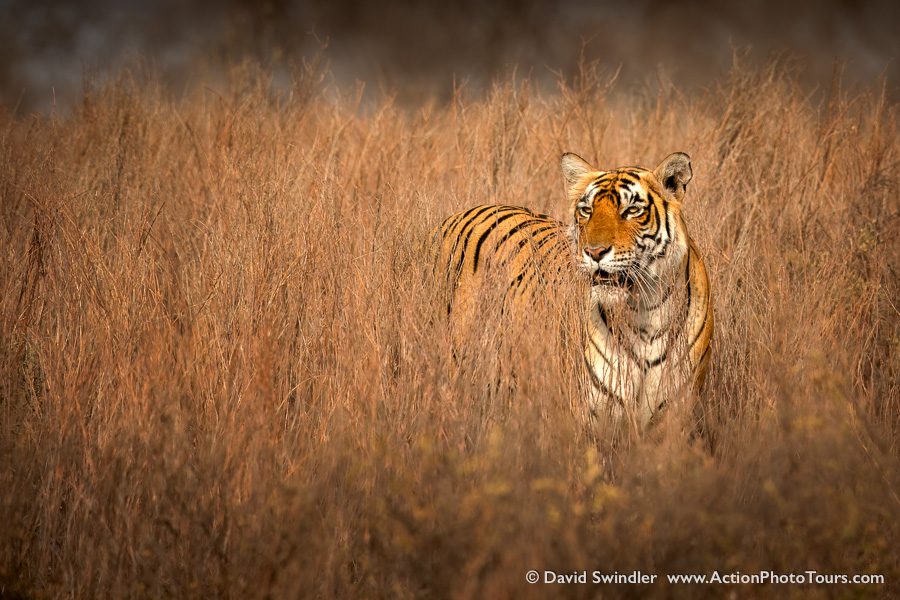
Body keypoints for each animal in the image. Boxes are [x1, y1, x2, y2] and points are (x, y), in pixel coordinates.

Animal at [432, 151, 712, 436]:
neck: (645, 310)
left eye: (632, 210)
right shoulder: (590, 419)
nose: (594, 252)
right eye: (586, 210)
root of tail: (459, 214)